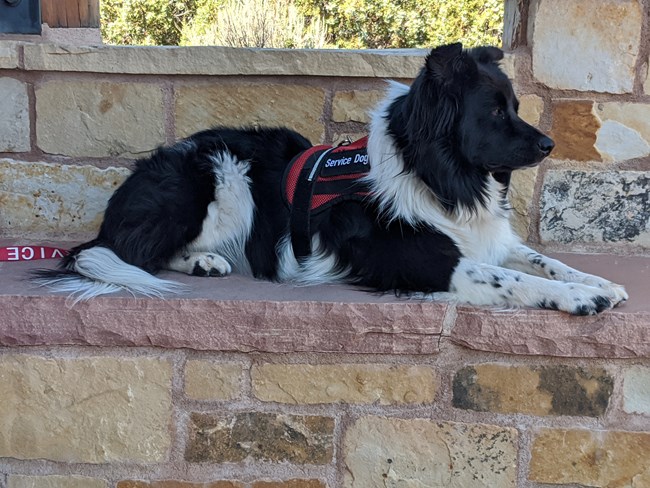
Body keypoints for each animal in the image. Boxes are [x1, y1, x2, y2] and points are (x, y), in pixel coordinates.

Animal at [33, 43, 624, 314]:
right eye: (496, 113)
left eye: (515, 107)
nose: (549, 145)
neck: (434, 172)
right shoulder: (421, 260)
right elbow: (513, 279)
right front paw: (575, 297)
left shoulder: (484, 238)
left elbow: (538, 260)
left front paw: (598, 282)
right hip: (223, 177)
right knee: (126, 253)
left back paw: (207, 263)